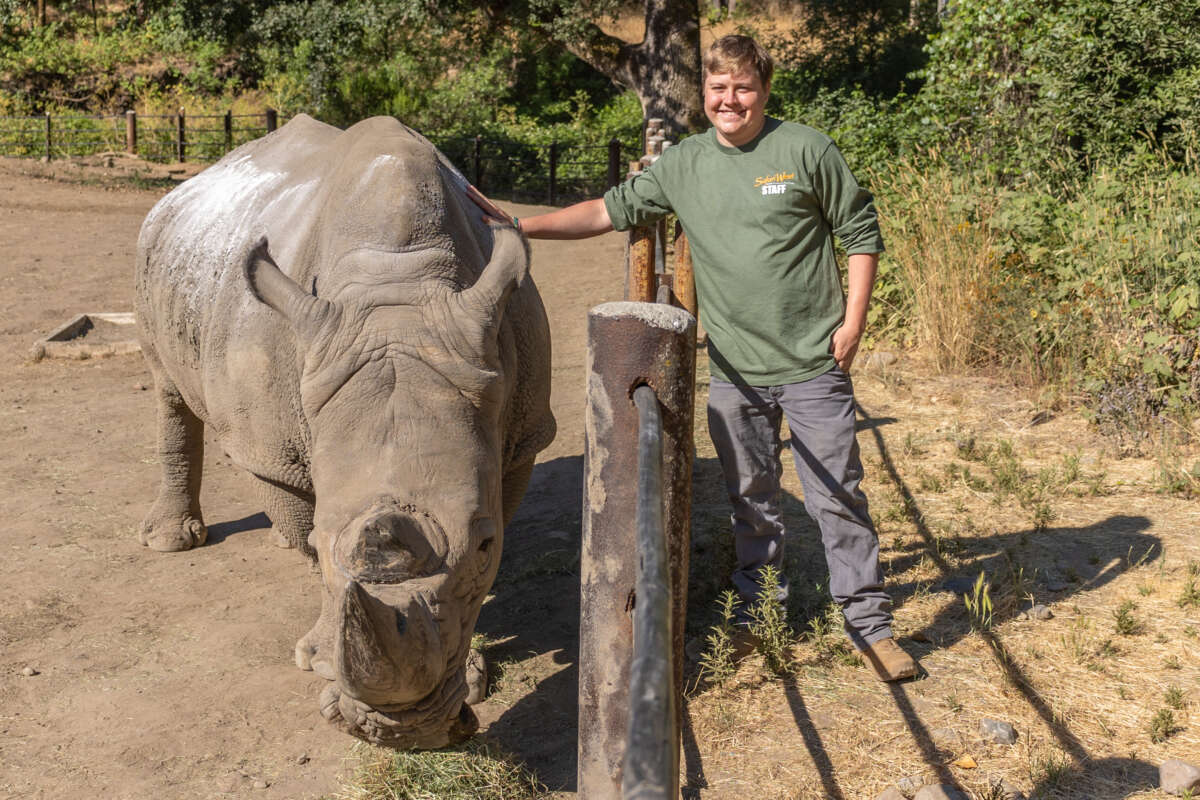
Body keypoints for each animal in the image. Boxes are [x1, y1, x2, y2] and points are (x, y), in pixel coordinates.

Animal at [134, 115, 555, 748]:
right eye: (324, 538)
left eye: (484, 544)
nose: (403, 732)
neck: (397, 290)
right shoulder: (271, 453)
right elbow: (308, 540)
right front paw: (318, 656)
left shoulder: (521, 436)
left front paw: (475, 672)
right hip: (153, 250)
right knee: (165, 386)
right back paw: (172, 541)